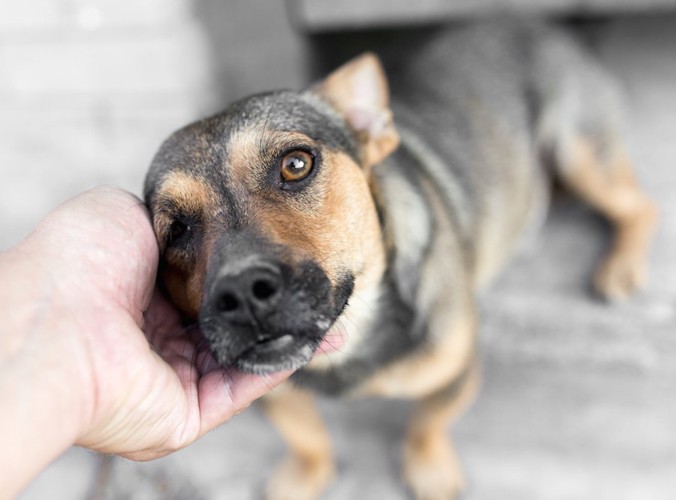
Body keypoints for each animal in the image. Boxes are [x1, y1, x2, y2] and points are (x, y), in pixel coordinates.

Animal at [143, 19, 656, 500]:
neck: (351, 341)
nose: (244, 293)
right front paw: (305, 474)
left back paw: (621, 266)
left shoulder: (456, 369)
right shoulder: (276, 394)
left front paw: (428, 469)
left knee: (640, 206)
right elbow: (306, 437)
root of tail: (543, 28)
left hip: (579, 149)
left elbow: (427, 423)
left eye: (296, 164)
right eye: (175, 231)